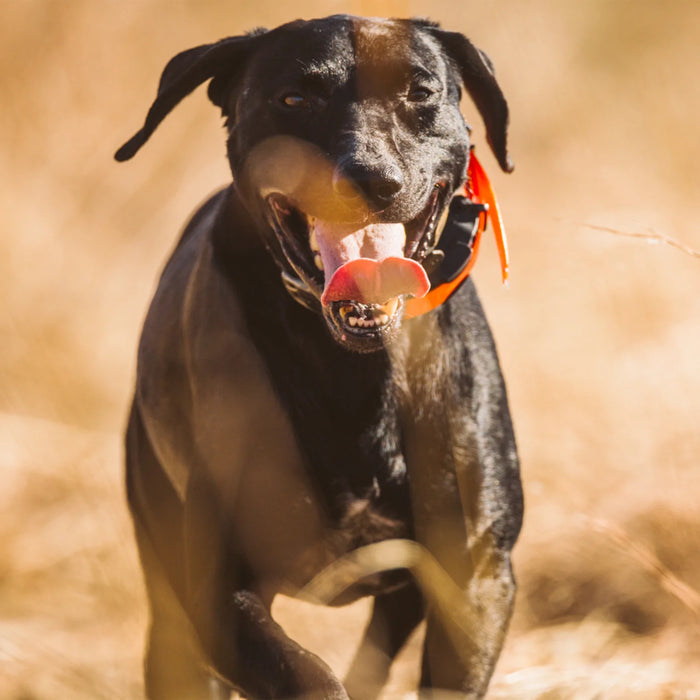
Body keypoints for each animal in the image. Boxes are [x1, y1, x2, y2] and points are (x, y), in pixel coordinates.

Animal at [117, 15, 524, 700]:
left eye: (421, 92)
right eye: (294, 98)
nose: (371, 179)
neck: (355, 366)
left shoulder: (474, 581)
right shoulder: (216, 594)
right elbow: (307, 675)